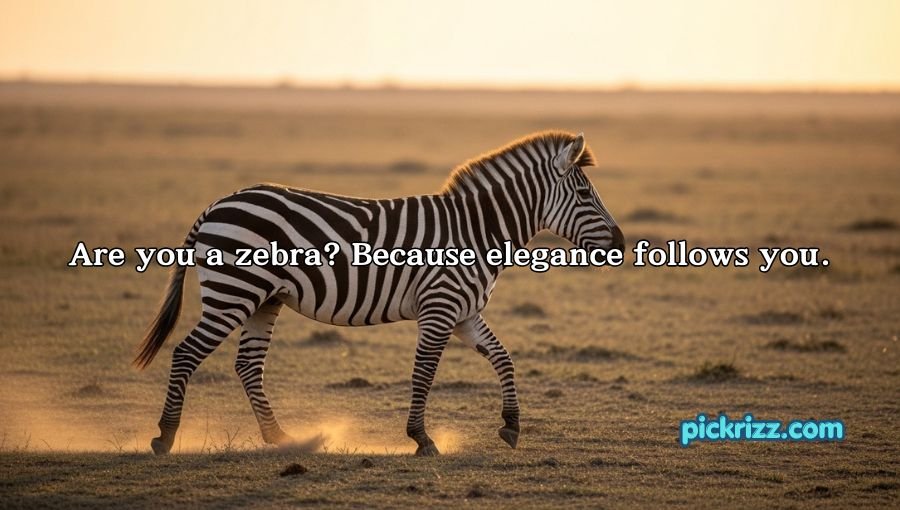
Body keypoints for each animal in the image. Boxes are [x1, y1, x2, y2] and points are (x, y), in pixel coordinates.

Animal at [135, 130, 625, 456]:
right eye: (585, 194)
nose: (621, 244)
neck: (477, 230)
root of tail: (217, 203)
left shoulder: (465, 312)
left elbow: (504, 358)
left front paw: (511, 426)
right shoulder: (440, 308)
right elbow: (424, 373)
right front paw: (422, 439)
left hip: (263, 299)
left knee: (248, 365)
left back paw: (280, 438)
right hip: (233, 292)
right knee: (186, 354)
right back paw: (165, 436)